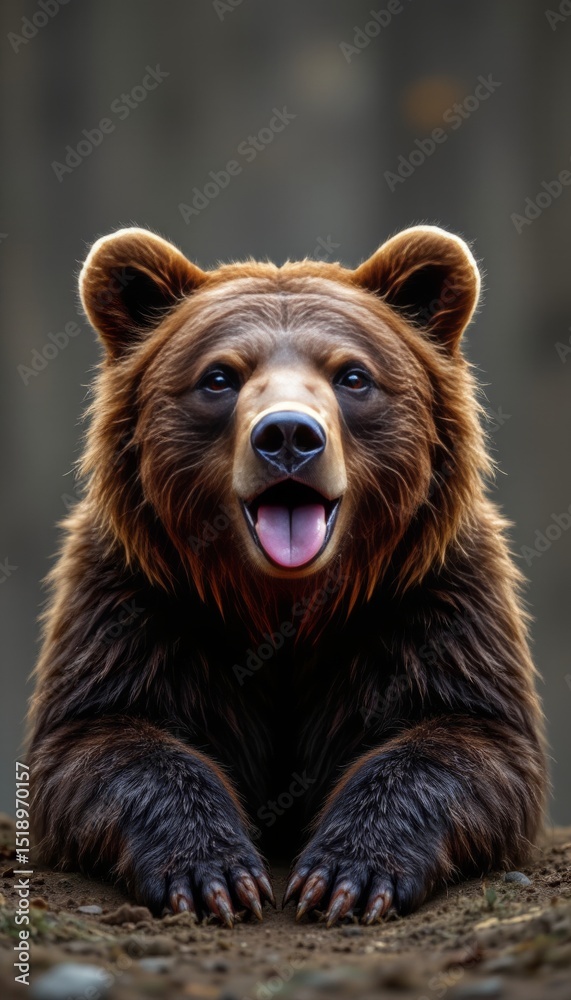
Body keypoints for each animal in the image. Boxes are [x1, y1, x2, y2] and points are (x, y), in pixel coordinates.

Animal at [27, 224, 547, 927]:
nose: (289, 436)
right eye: (219, 376)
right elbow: (100, 738)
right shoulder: (134, 604)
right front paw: (214, 873)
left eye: (353, 375)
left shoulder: (433, 601)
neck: (280, 603)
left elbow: (469, 737)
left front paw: (345, 874)